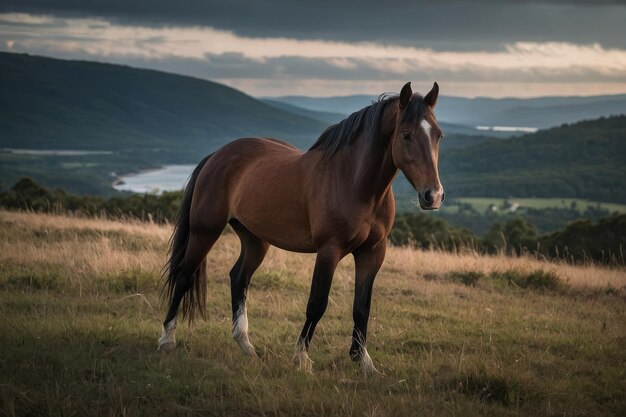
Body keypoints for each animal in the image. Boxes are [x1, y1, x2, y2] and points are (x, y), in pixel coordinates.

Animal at [160, 81, 444, 374]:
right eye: (407, 135)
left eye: (438, 135)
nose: (433, 196)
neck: (353, 181)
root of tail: (217, 155)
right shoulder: (329, 250)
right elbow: (317, 303)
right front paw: (301, 358)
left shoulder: (373, 252)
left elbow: (362, 307)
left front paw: (363, 361)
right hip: (205, 231)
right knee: (184, 276)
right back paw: (167, 340)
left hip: (255, 240)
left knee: (239, 277)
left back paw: (246, 345)